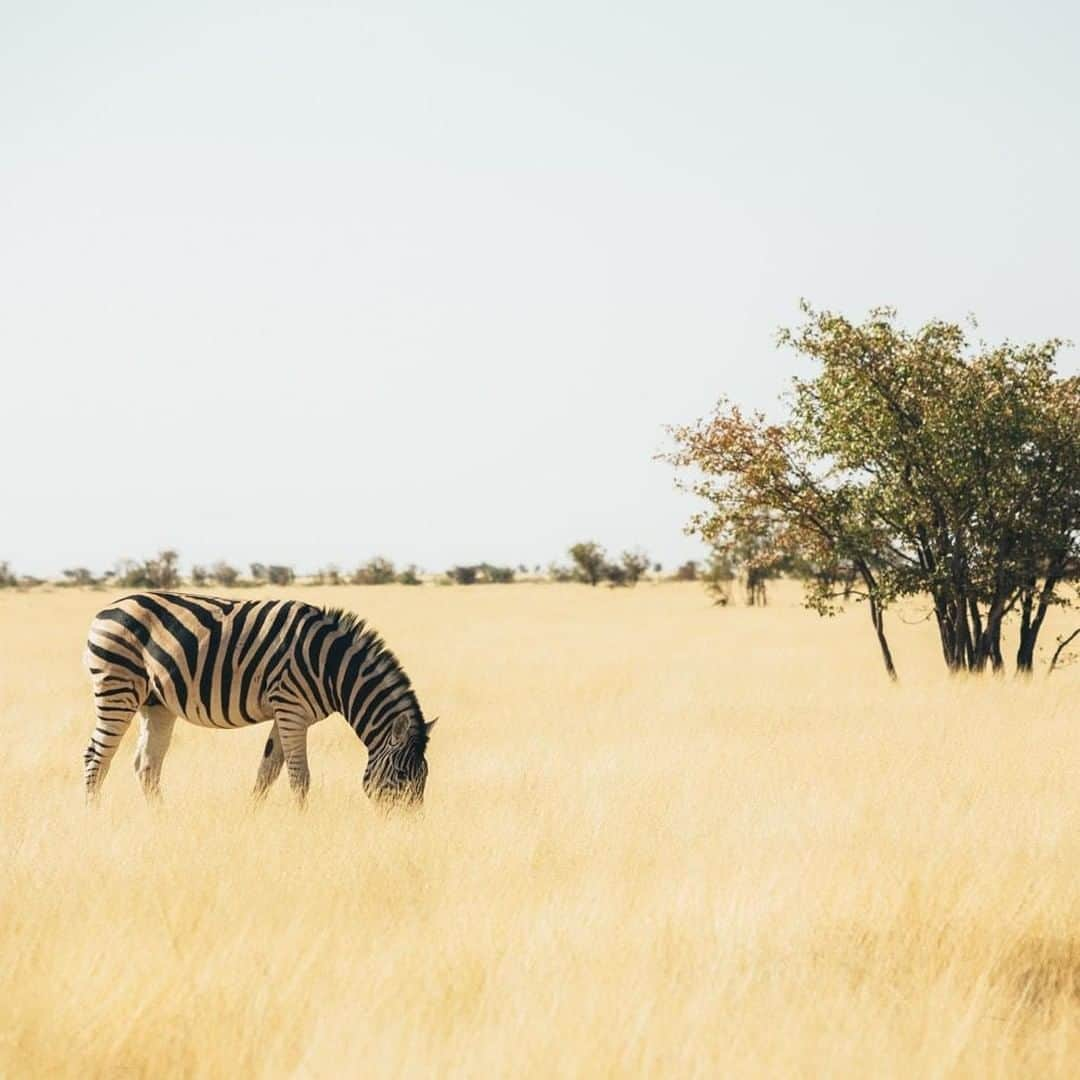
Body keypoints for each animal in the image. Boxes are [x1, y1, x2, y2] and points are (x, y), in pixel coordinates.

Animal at [83, 596, 434, 807]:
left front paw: (253, 817)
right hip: (118, 687)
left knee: (146, 765)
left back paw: (161, 819)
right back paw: (94, 817)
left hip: (156, 704)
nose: (408, 829)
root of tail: (106, 609)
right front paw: (302, 825)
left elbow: (267, 771)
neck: (331, 667)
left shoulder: (286, 713)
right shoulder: (291, 709)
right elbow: (299, 777)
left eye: (424, 777)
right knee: (96, 758)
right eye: (401, 775)